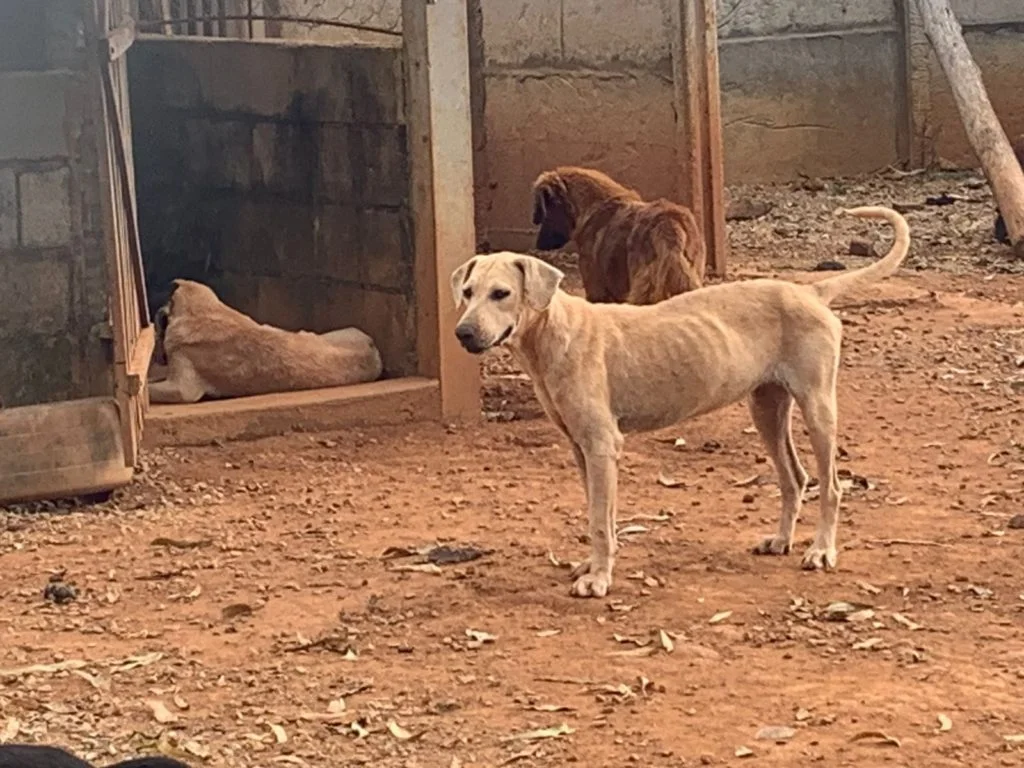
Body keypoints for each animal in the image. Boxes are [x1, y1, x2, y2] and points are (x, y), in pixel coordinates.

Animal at [452, 205, 909, 602]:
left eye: (501, 293)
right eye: (468, 292)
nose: (463, 333)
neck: (554, 331)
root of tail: (810, 291)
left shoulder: (601, 447)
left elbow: (599, 521)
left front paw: (598, 580)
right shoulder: (582, 449)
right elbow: (602, 516)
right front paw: (595, 565)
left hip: (817, 408)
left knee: (830, 485)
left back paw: (821, 550)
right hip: (767, 410)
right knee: (794, 479)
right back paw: (782, 540)